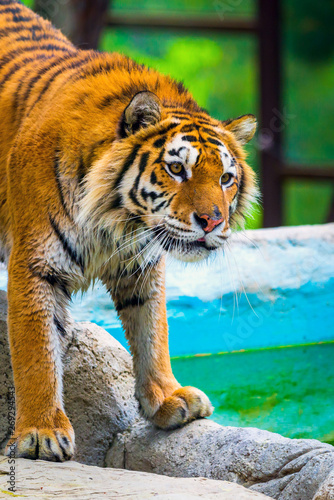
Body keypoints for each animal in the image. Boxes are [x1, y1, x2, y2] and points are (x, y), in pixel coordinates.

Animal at [0, 0, 258, 462]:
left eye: (226, 178)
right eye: (177, 169)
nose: (212, 221)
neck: (119, 224)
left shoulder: (141, 265)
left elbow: (153, 330)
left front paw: (168, 399)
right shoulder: (35, 266)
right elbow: (36, 353)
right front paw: (42, 433)